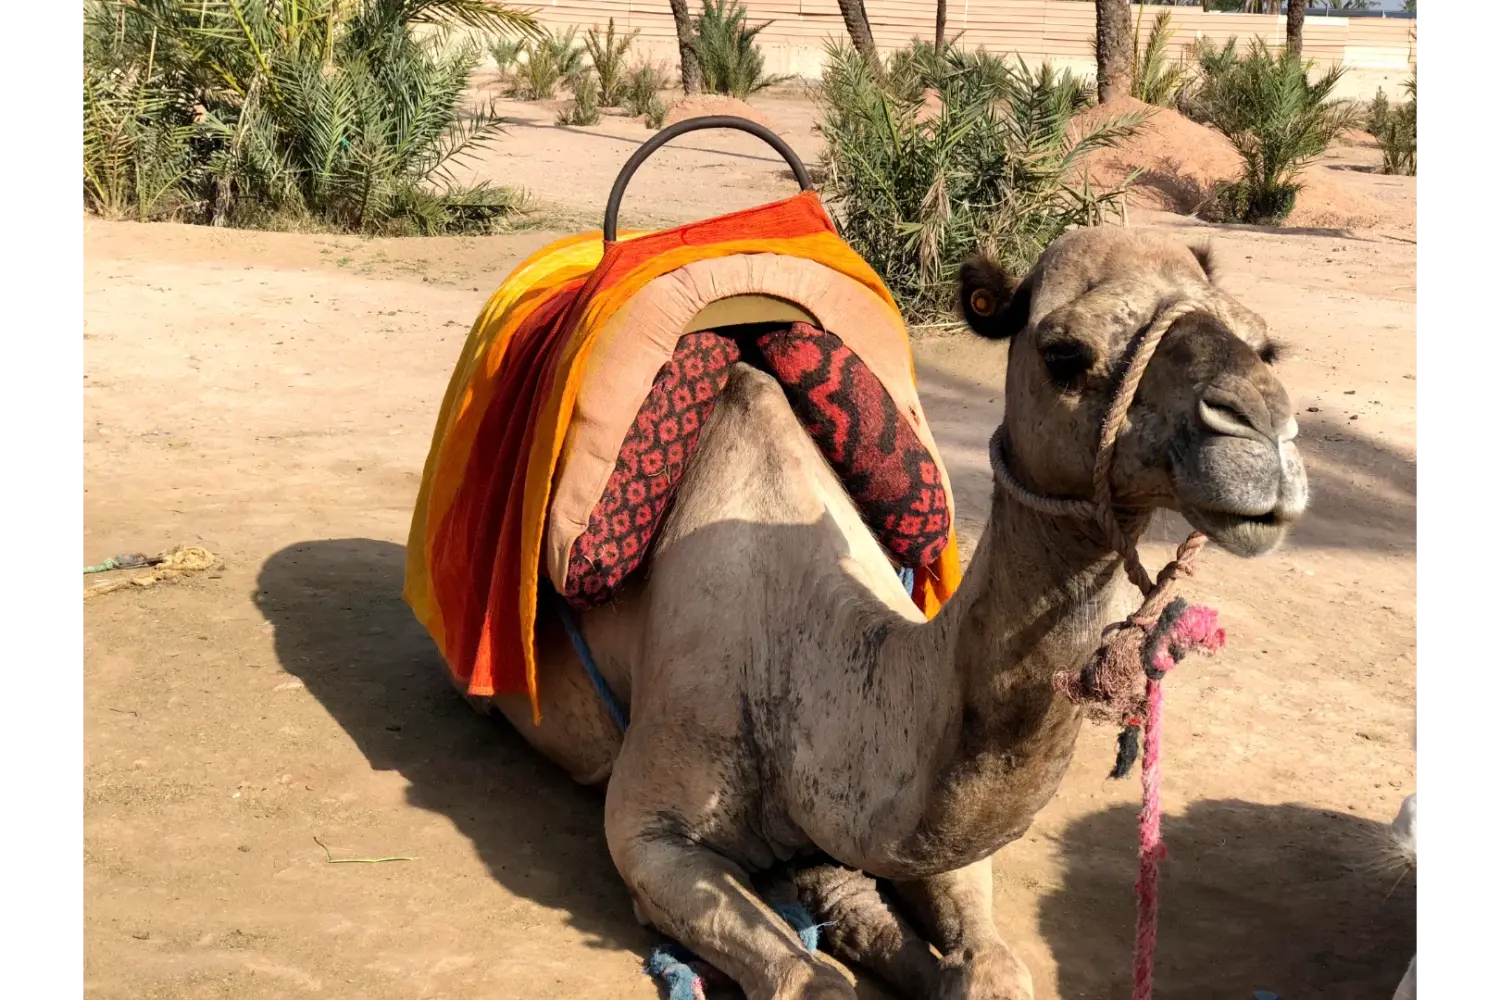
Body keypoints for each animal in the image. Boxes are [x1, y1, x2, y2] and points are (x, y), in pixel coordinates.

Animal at [475, 226, 1307, 999]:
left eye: (1265, 344)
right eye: (1064, 352)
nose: (1263, 434)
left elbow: (988, 965)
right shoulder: (650, 831)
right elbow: (808, 978)